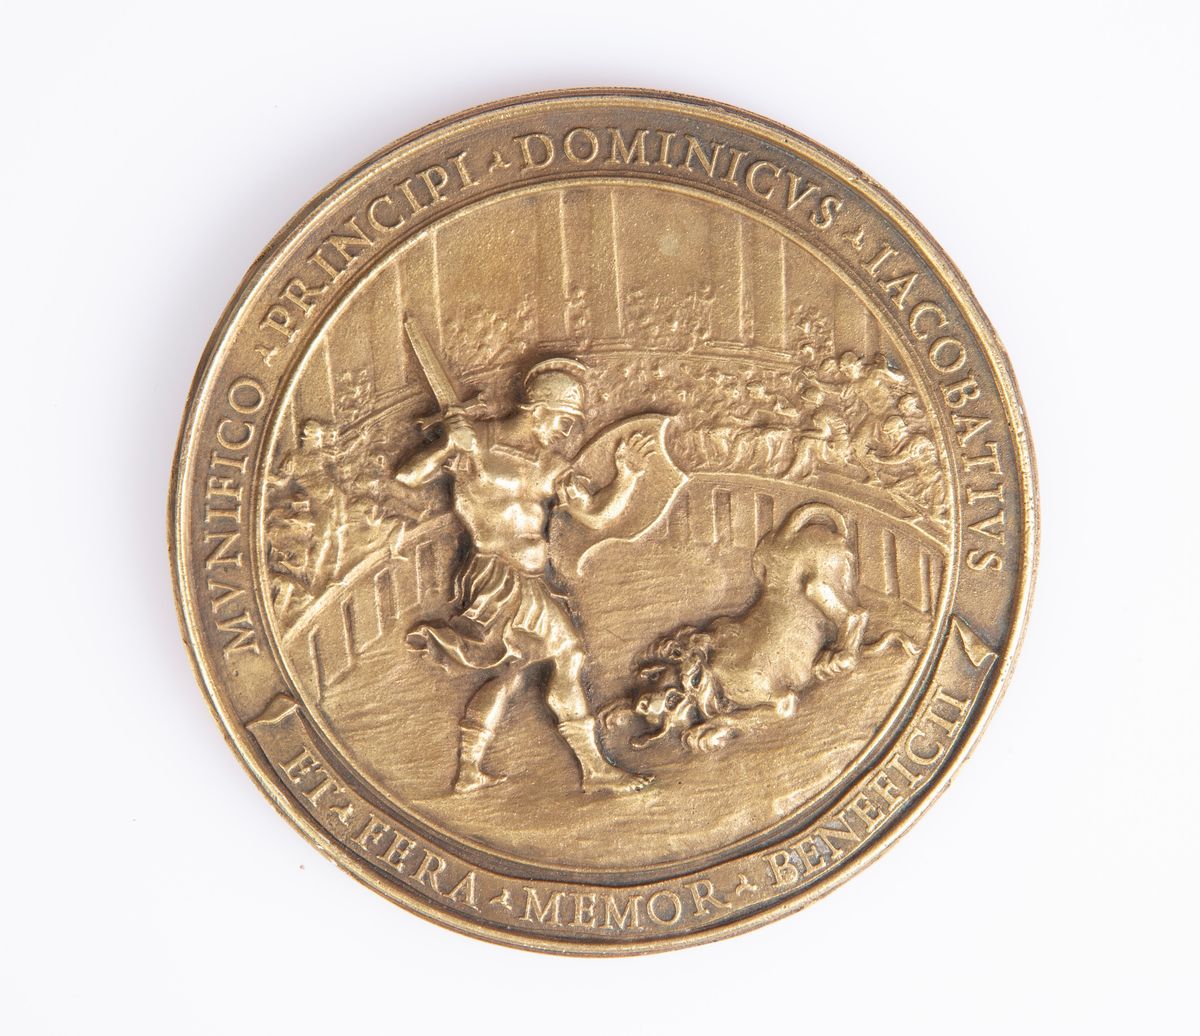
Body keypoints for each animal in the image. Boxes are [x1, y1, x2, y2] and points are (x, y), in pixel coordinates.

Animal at [601, 503, 917, 752]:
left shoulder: (775, 698)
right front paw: (614, 713)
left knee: (856, 614)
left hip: (819, 580)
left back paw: (839, 656)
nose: (643, 705)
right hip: (765, 561)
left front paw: (706, 732)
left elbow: (736, 716)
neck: (707, 668)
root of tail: (793, 534)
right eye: (655, 677)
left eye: (672, 699)